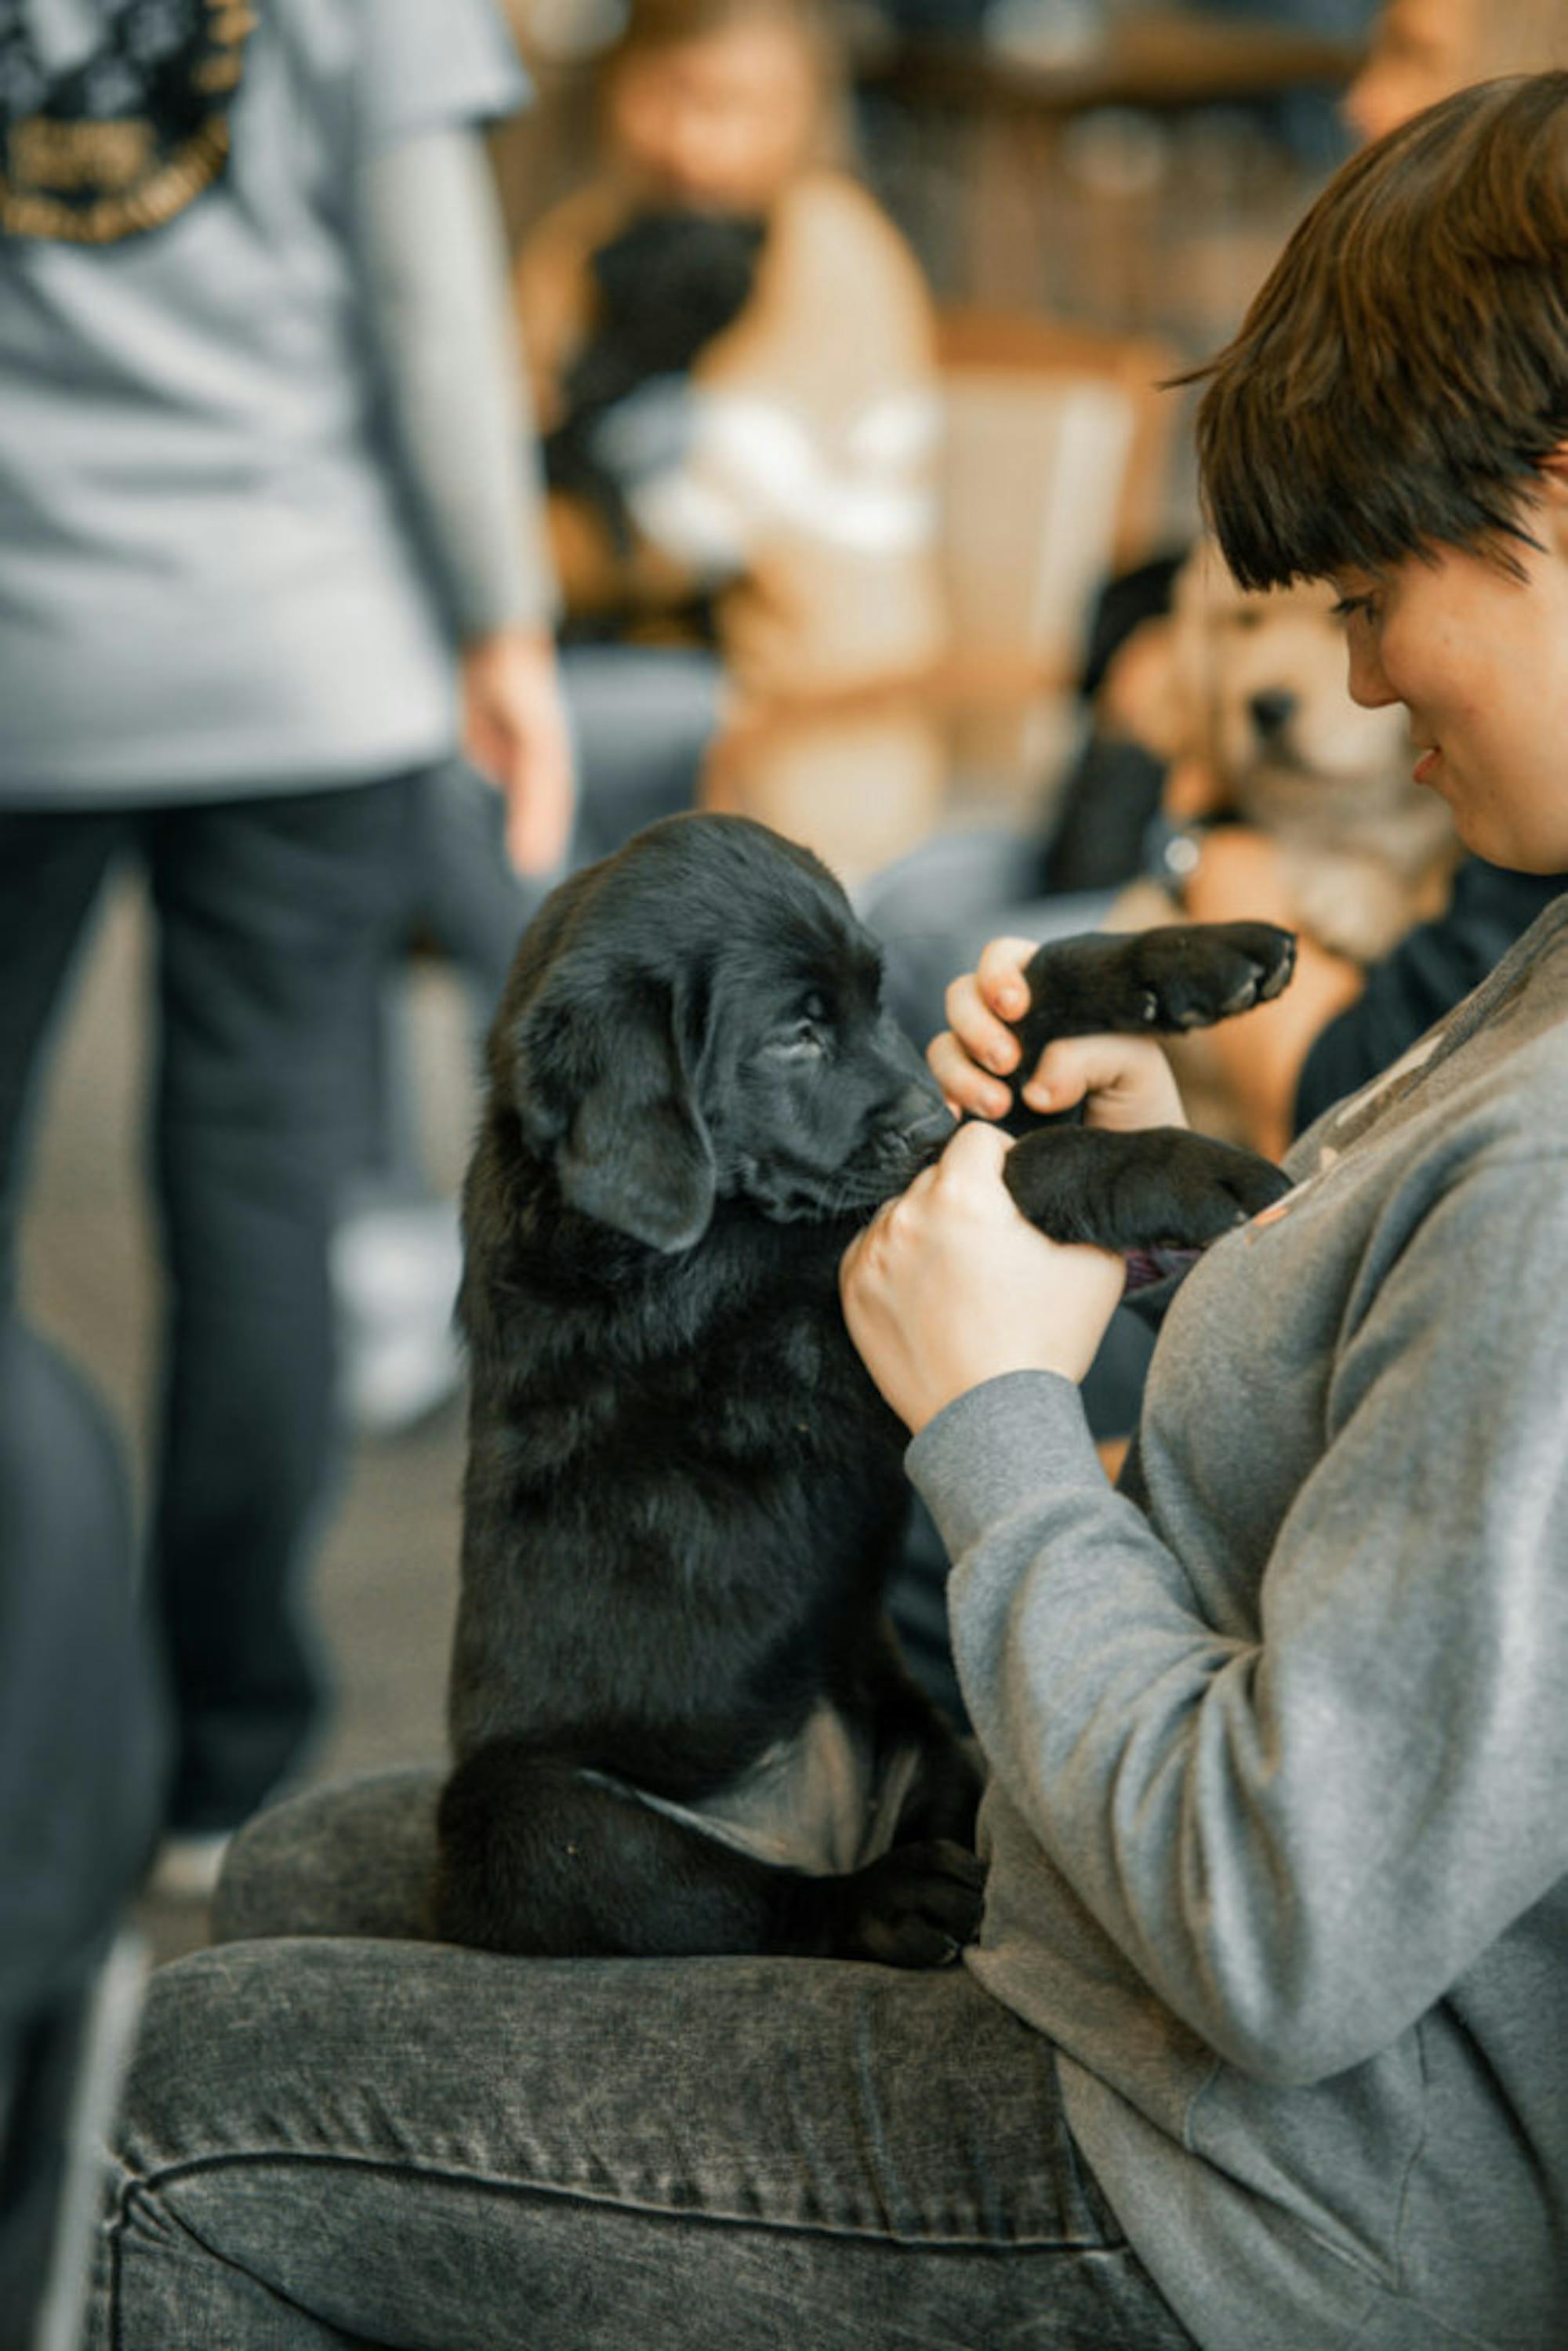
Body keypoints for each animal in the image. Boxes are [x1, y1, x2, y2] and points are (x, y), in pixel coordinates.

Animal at [434, 818, 1298, 1975]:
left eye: (874, 1001)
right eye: (794, 1036)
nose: (931, 1124)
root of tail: (800, 1820)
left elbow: (1027, 1011)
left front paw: (1190, 958)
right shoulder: (799, 1339)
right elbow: (1019, 1158)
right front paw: (1171, 1161)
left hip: (917, 1729)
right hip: (522, 1820)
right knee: (732, 1899)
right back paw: (893, 1896)